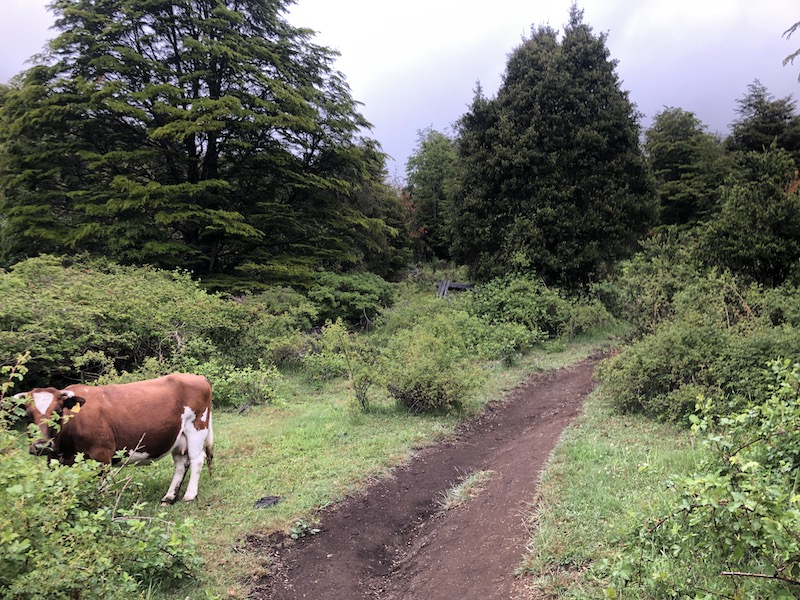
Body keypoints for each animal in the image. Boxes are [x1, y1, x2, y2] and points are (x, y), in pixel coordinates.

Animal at [16, 372, 216, 504]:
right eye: (27, 415)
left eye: (58, 412)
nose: (41, 446)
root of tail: (198, 377)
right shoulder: (54, 460)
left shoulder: (101, 455)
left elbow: (100, 488)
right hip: (177, 436)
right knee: (181, 463)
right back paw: (169, 497)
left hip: (197, 427)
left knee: (197, 459)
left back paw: (190, 495)